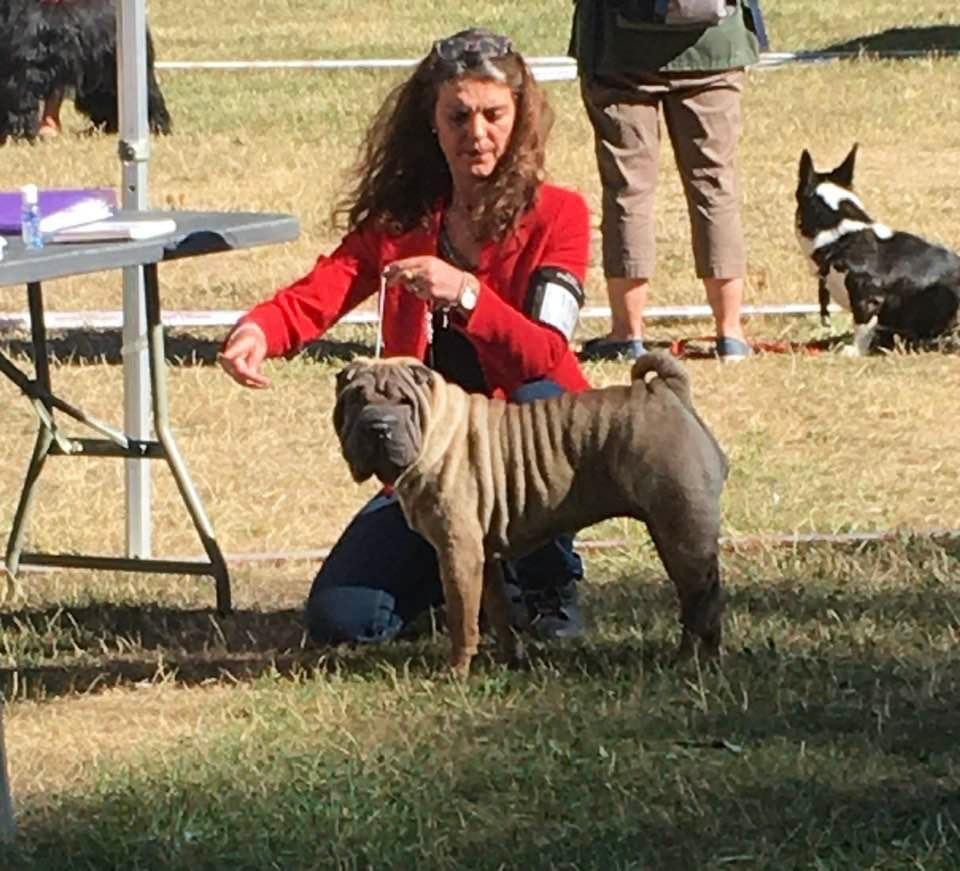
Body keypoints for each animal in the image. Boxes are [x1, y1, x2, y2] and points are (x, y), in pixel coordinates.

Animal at [0, 0, 172, 144]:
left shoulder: (22, 73)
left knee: (150, 97)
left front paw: (18, 136)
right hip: (98, 82)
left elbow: (19, 105)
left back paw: (157, 128)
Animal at [333, 354, 729, 677]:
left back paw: (691, 662)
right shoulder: (482, 557)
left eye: (403, 402)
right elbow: (498, 612)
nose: (378, 425)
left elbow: (462, 620)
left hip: (681, 532)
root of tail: (667, 391)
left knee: (700, 603)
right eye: (356, 399)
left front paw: (456, 671)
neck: (435, 430)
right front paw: (512, 658)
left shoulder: (457, 552)